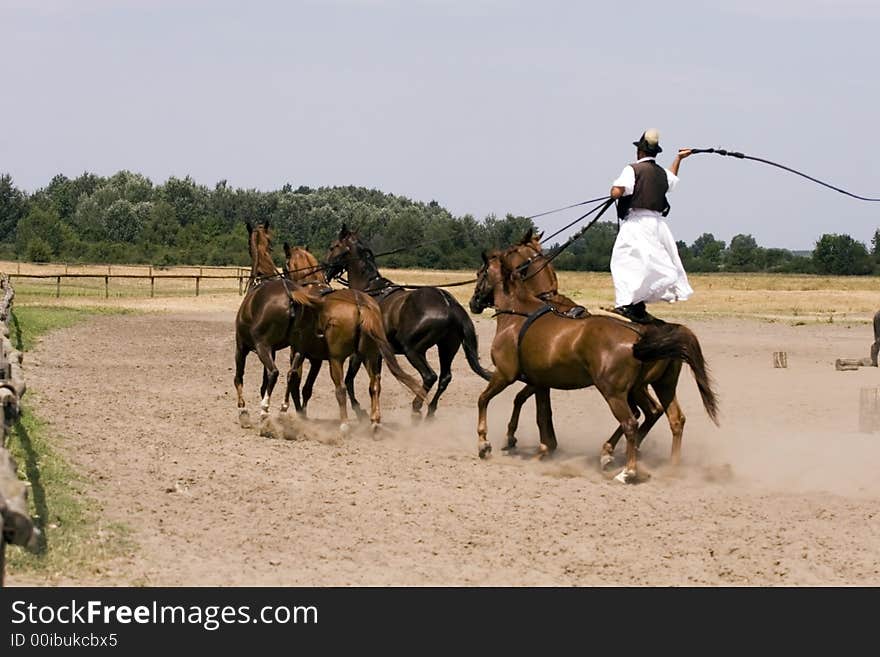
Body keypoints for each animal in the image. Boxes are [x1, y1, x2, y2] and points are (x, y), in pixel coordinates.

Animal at [324, 226, 492, 420]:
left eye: (333, 247)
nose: (324, 270)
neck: (370, 290)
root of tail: (450, 305)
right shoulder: (377, 353)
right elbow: (374, 383)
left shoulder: (361, 352)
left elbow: (350, 380)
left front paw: (360, 411)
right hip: (446, 348)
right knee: (445, 378)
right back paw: (430, 411)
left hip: (412, 349)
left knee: (430, 376)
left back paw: (416, 407)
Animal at [468, 251, 716, 482]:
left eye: (480, 274)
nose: (473, 303)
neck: (518, 314)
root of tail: (643, 334)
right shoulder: (540, 382)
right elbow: (541, 413)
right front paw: (540, 448)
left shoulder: (505, 374)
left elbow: (483, 399)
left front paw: (484, 443)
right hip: (658, 386)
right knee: (671, 418)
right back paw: (667, 467)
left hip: (614, 391)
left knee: (631, 422)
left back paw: (627, 471)